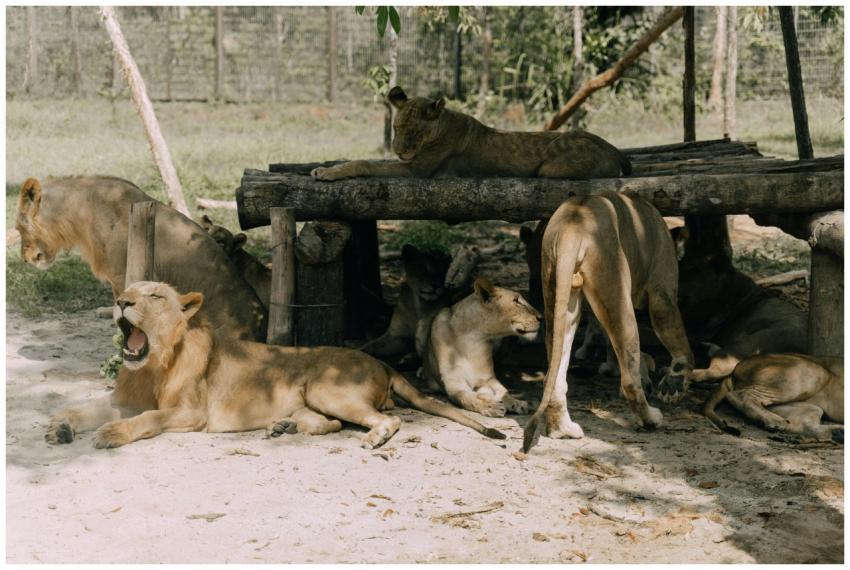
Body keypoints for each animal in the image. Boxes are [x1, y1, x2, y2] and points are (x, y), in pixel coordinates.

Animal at [44, 281, 506, 450]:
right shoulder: (125, 399)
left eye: (154, 295)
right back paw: (282, 426)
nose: (121, 301)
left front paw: (112, 433)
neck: (155, 363)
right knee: (329, 424)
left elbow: (148, 419)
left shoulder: (190, 412)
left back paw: (373, 439)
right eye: (127, 289)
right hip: (315, 398)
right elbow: (79, 408)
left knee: (387, 421)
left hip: (326, 386)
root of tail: (380, 362)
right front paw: (59, 425)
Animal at [311, 86, 630, 181]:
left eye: (414, 132)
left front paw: (327, 173)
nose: (399, 150)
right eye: (396, 128)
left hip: (551, 169)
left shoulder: (417, 169)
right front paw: (324, 166)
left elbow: (365, 162)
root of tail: (614, 149)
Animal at [419, 277, 541, 417]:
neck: (471, 338)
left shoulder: (488, 378)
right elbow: (467, 398)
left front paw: (518, 403)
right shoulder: (454, 384)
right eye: (516, 301)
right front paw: (490, 406)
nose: (541, 317)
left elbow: (504, 392)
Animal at [523, 192, 695, 452]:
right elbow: (678, 339)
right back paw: (651, 419)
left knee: (554, 374)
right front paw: (673, 385)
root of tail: (574, 221)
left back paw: (563, 430)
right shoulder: (661, 290)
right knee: (630, 378)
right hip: (616, 288)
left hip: (560, 297)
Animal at [697, 353, 843, 442]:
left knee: (802, 425)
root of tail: (736, 368)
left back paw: (839, 433)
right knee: (737, 394)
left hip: (809, 405)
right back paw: (774, 421)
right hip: (812, 372)